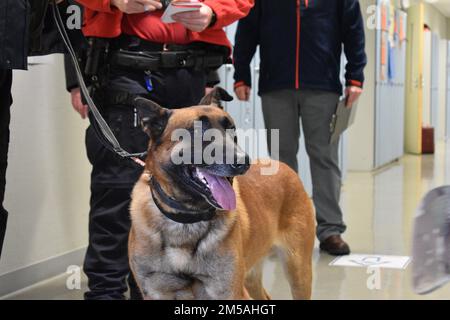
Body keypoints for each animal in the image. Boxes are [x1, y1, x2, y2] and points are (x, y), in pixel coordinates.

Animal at [128, 87, 314, 300]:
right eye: (198, 130)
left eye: (231, 129)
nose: (243, 162)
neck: (185, 220)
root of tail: (283, 166)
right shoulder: (155, 293)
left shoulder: (229, 292)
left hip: (297, 270)